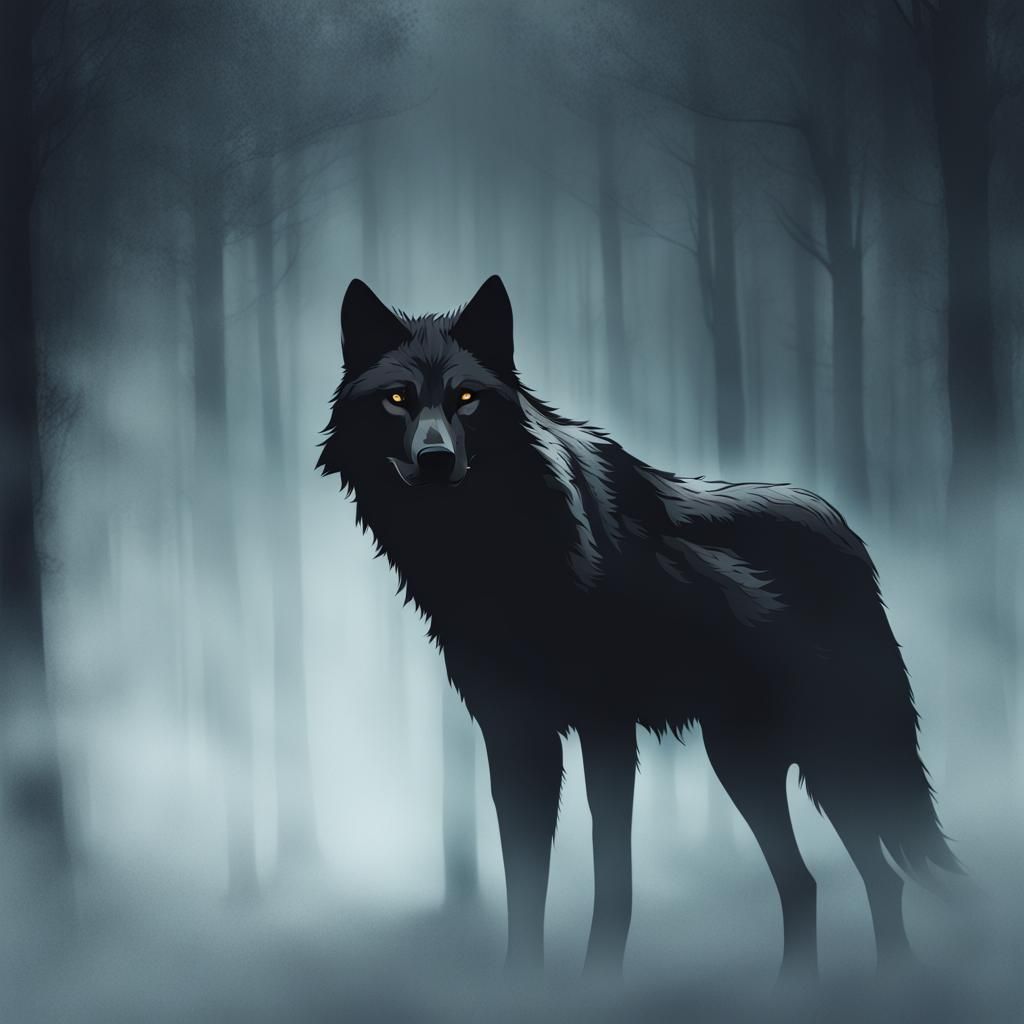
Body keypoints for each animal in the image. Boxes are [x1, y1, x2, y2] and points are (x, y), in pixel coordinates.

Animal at [318, 275, 960, 980]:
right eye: (398, 399)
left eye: (466, 398)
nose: (434, 458)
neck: (498, 551)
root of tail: (848, 534)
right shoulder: (515, 733)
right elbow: (524, 882)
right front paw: (523, 982)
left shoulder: (606, 728)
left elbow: (613, 880)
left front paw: (599, 981)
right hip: (746, 762)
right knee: (815, 881)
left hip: (826, 757)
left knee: (872, 875)